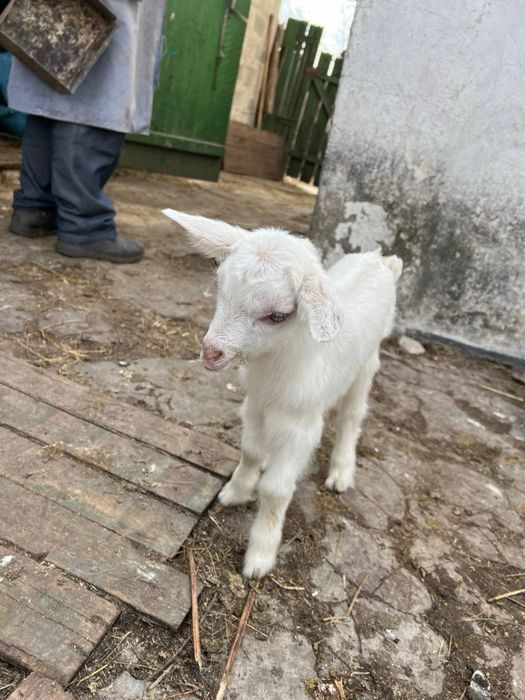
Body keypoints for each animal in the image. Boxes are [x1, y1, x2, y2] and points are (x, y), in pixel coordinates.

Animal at [163, 209, 402, 579]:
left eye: (277, 315)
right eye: (220, 287)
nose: (211, 353)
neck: (275, 369)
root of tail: (380, 259)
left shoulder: (301, 427)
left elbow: (275, 490)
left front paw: (260, 557)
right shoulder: (255, 405)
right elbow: (249, 451)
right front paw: (235, 492)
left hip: (368, 362)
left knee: (352, 416)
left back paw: (341, 472)